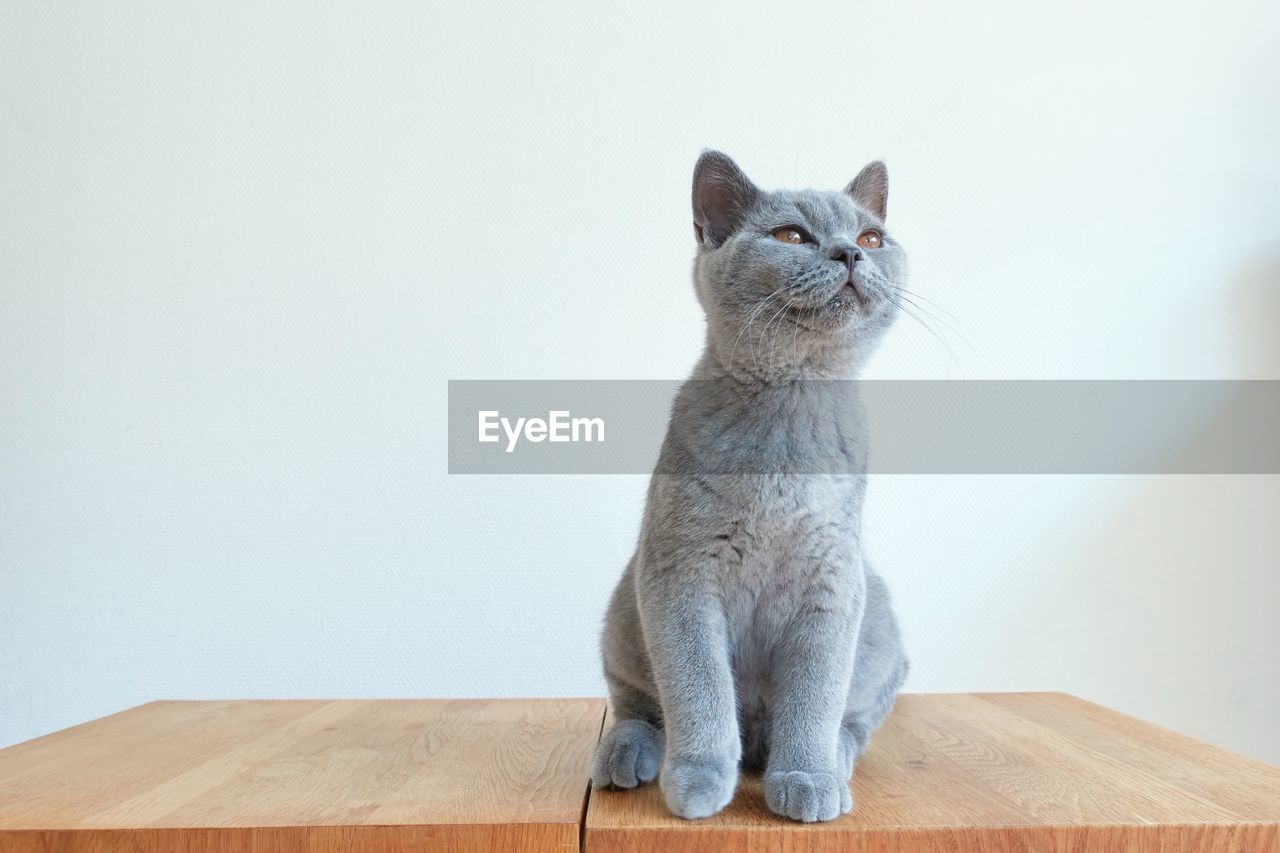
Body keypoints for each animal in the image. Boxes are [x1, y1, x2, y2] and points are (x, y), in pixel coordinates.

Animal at [588, 151, 911, 819]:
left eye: (873, 238)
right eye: (791, 236)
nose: (850, 252)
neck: (793, 400)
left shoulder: (832, 579)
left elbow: (816, 697)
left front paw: (807, 778)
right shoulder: (680, 572)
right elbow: (699, 689)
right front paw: (700, 779)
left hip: (881, 622)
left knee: (855, 720)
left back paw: (835, 764)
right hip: (624, 612)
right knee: (637, 707)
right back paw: (626, 757)